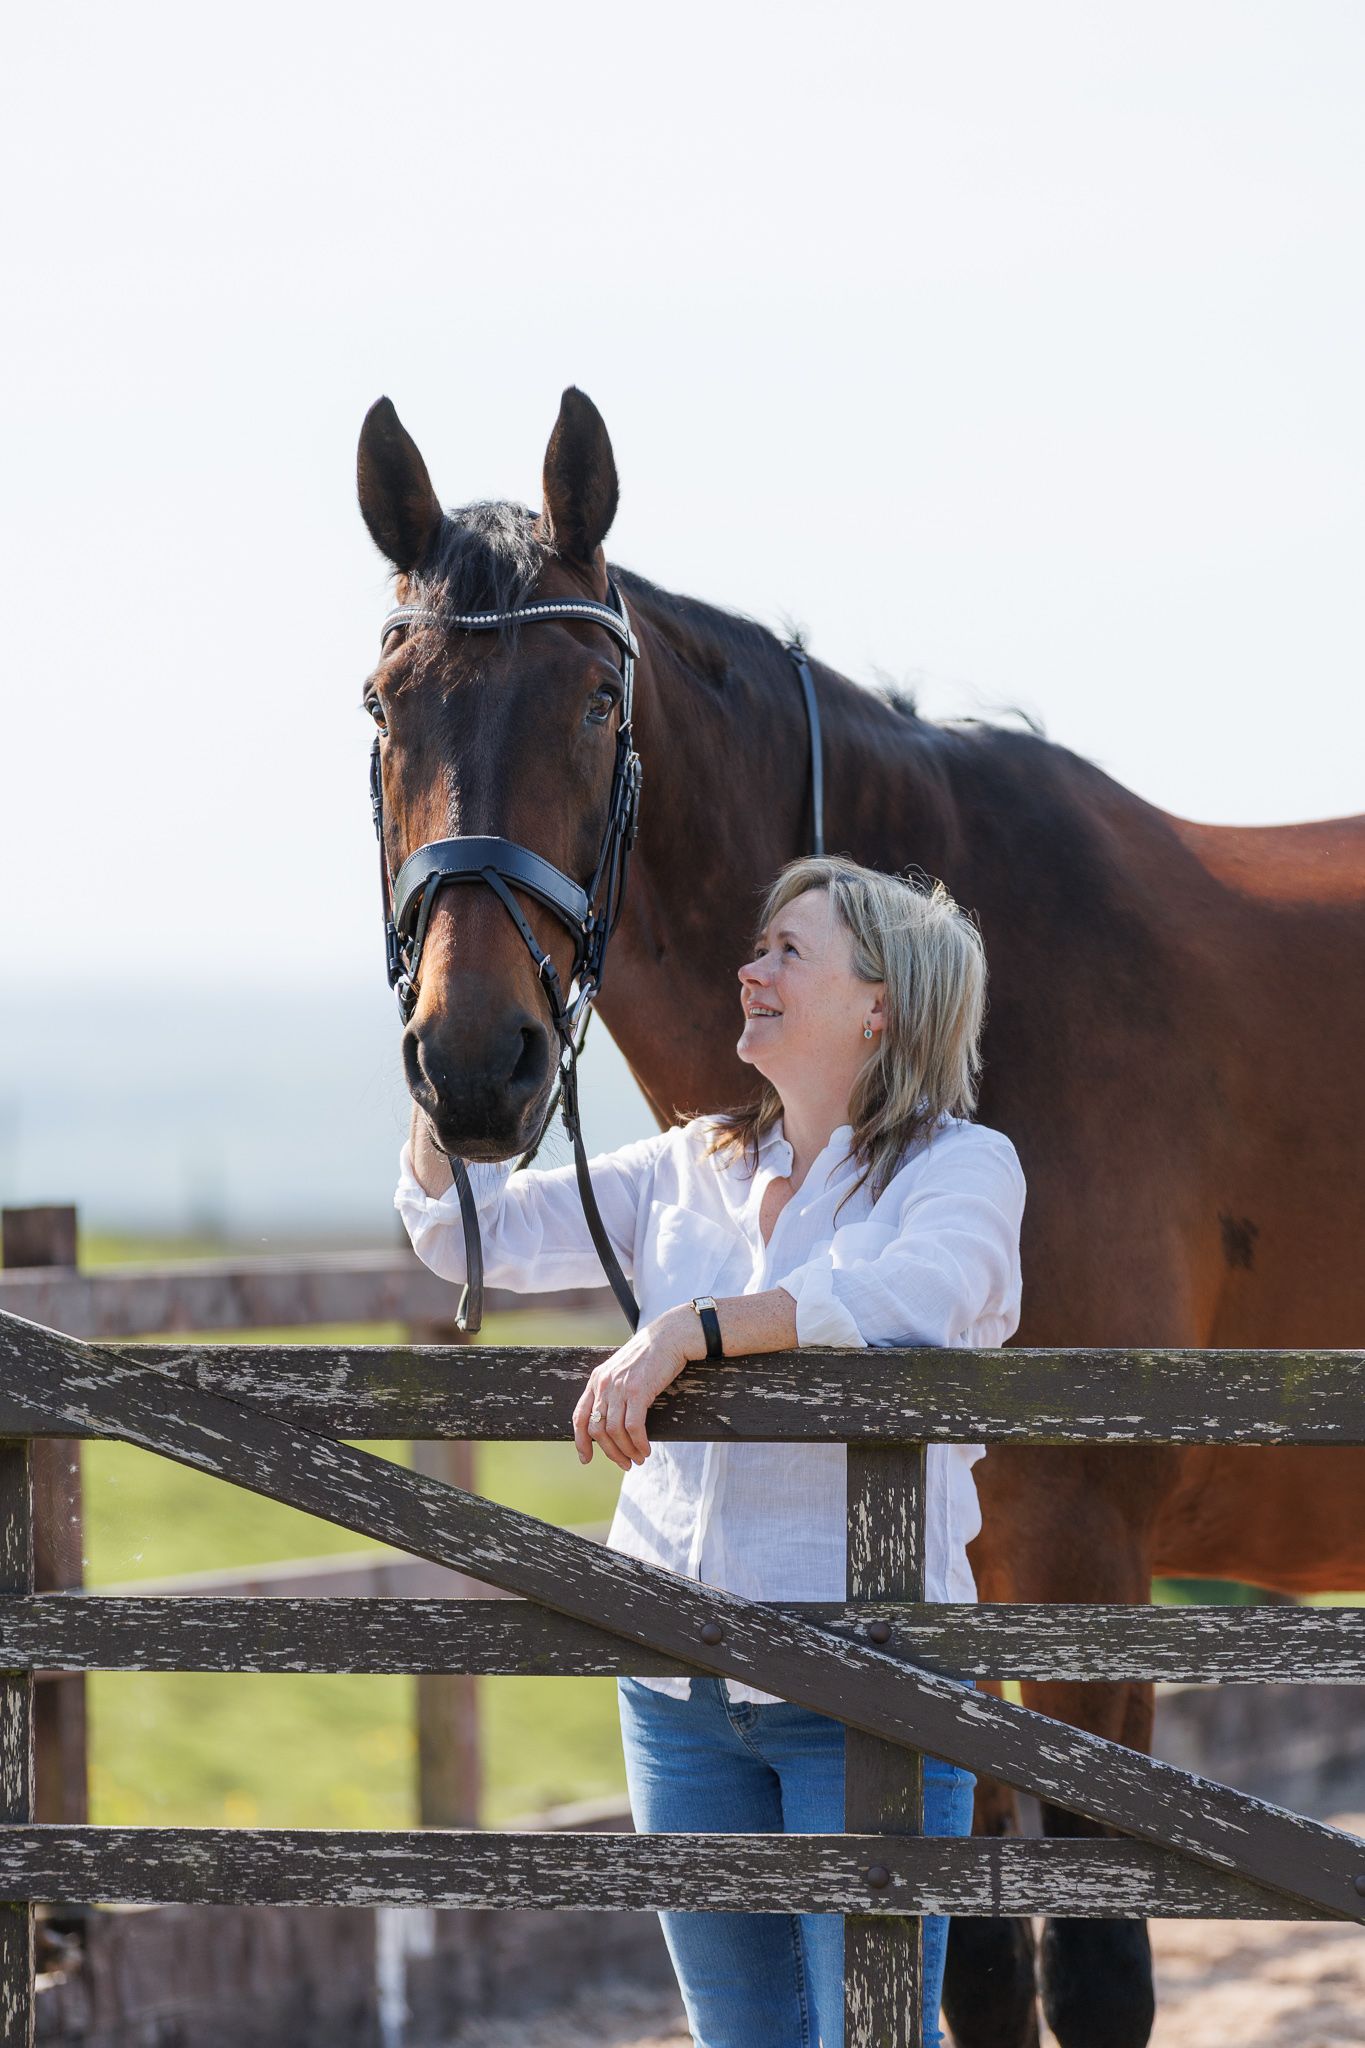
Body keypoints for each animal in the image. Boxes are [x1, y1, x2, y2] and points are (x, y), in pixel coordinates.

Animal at [356, 386, 1365, 2048]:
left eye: (594, 702)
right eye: (386, 708)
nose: (473, 1063)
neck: (985, 977)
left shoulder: (1086, 1576)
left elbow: (1096, 1973)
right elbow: (973, 1970)